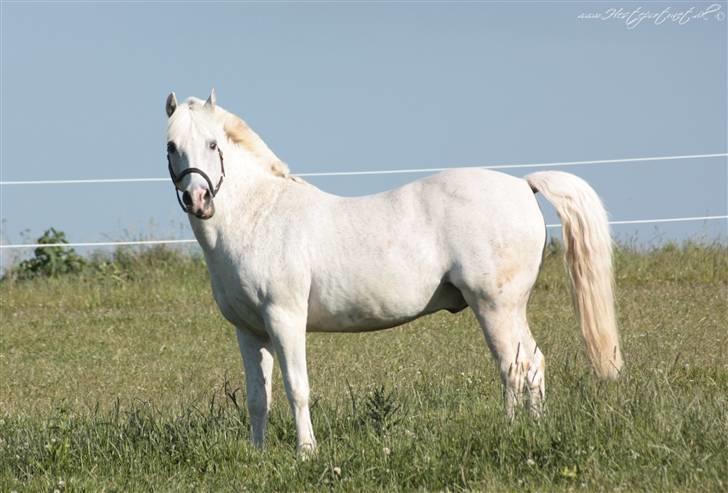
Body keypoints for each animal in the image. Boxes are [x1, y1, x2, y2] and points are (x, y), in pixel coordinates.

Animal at [164, 89, 623, 455]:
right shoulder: (249, 331)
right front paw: (258, 455)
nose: (198, 199)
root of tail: (522, 185)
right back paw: (535, 427)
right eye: (171, 146)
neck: (259, 216)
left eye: (212, 144)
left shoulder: (285, 319)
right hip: (511, 308)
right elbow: (259, 397)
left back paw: (509, 431)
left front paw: (306, 453)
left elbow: (297, 388)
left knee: (514, 367)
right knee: (533, 362)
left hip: (495, 306)